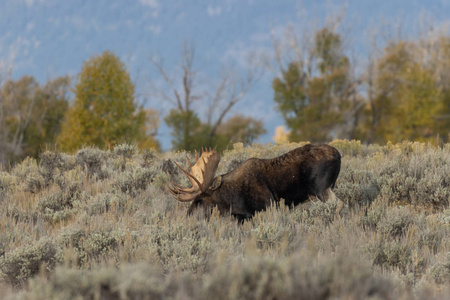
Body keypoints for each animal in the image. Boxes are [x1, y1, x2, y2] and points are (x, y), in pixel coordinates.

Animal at [170, 143, 344, 220]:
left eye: (199, 200)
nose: (188, 215)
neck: (232, 198)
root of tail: (339, 155)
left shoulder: (268, 205)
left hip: (321, 188)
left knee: (339, 204)